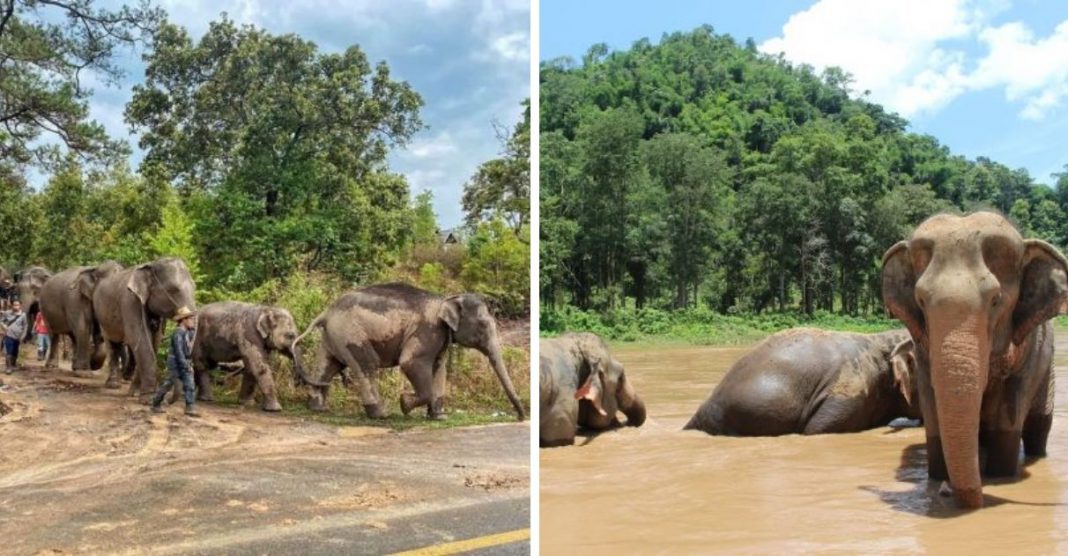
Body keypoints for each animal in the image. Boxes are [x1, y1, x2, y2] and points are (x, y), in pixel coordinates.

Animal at [92, 258, 197, 396]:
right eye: (173, 290)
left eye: (195, 287)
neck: (150, 265)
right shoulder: (130, 301)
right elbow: (140, 337)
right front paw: (147, 396)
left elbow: (155, 340)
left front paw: (137, 393)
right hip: (102, 318)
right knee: (112, 343)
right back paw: (113, 385)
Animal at [190, 298, 326, 411]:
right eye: (290, 336)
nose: (296, 382)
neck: (266, 309)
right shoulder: (249, 333)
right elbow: (259, 366)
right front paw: (275, 409)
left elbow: (250, 368)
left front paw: (246, 403)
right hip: (197, 338)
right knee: (202, 364)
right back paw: (206, 399)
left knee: (204, 364)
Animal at [292, 283, 525, 418]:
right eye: (483, 326)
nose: (521, 417)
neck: (447, 299)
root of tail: (326, 312)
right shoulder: (427, 330)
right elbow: (410, 362)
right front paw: (404, 404)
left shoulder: (439, 337)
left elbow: (439, 368)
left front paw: (438, 417)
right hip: (351, 335)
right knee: (367, 365)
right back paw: (382, 415)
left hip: (333, 337)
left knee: (328, 366)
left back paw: (318, 408)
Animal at [880, 211, 1063, 507]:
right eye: (920, 301)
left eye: (996, 300)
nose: (946, 491)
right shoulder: (922, 348)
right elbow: (932, 406)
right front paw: (937, 479)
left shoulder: (1031, 349)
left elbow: (1010, 412)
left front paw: (1000, 477)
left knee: (1039, 427)